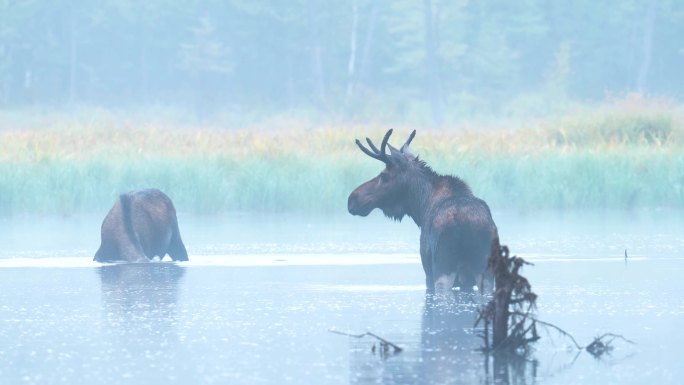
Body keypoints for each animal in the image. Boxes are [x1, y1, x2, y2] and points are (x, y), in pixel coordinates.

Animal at [350, 129, 500, 292]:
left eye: (384, 175)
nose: (352, 199)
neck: (420, 207)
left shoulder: (428, 273)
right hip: (485, 272)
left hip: (443, 268)